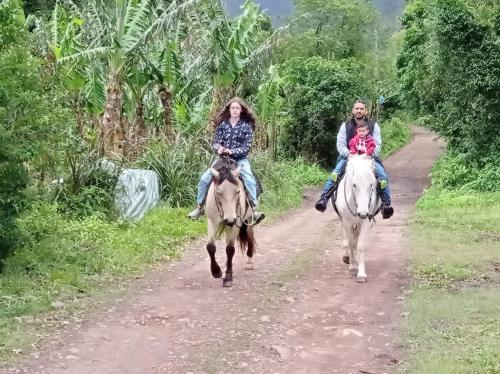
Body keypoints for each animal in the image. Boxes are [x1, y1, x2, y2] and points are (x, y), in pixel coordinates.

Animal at [204, 156, 256, 288]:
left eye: (237, 192)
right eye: (219, 192)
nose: (230, 220)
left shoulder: (237, 223)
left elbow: (230, 249)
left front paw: (228, 277)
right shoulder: (212, 221)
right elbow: (210, 247)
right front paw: (216, 272)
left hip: (247, 219)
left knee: (250, 234)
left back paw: (249, 262)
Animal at [334, 153, 380, 282]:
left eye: (371, 185)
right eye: (354, 185)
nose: (363, 213)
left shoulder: (365, 222)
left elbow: (360, 245)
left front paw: (361, 273)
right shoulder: (346, 221)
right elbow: (351, 243)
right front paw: (353, 267)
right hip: (343, 220)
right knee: (346, 237)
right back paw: (346, 256)